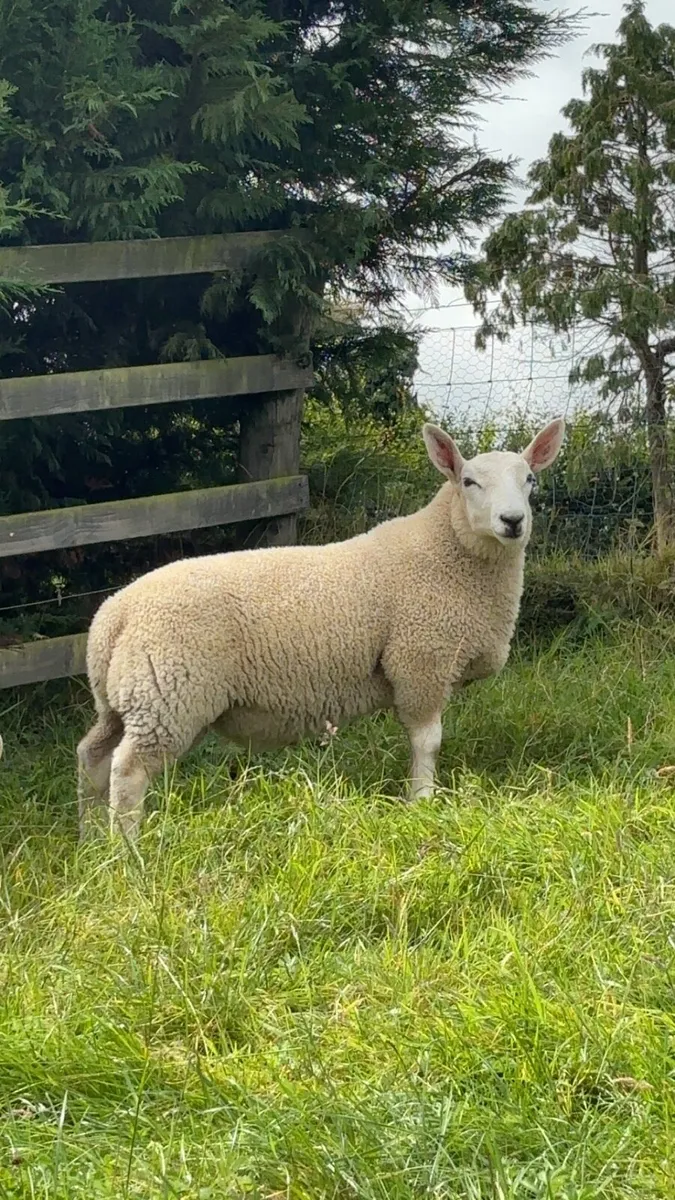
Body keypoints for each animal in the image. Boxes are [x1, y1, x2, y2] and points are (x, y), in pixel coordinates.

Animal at [77, 417, 564, 839]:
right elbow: (427, 742)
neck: (448, 553)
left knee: (92, 756)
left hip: (129, 700)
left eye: (530, 480)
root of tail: (114, 615)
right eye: (468, 482)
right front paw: (422, 802)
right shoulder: (421, 663)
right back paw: (129, 849)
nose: (512, 521)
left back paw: (92, 838)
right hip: (168, 694)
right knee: (128, 770)